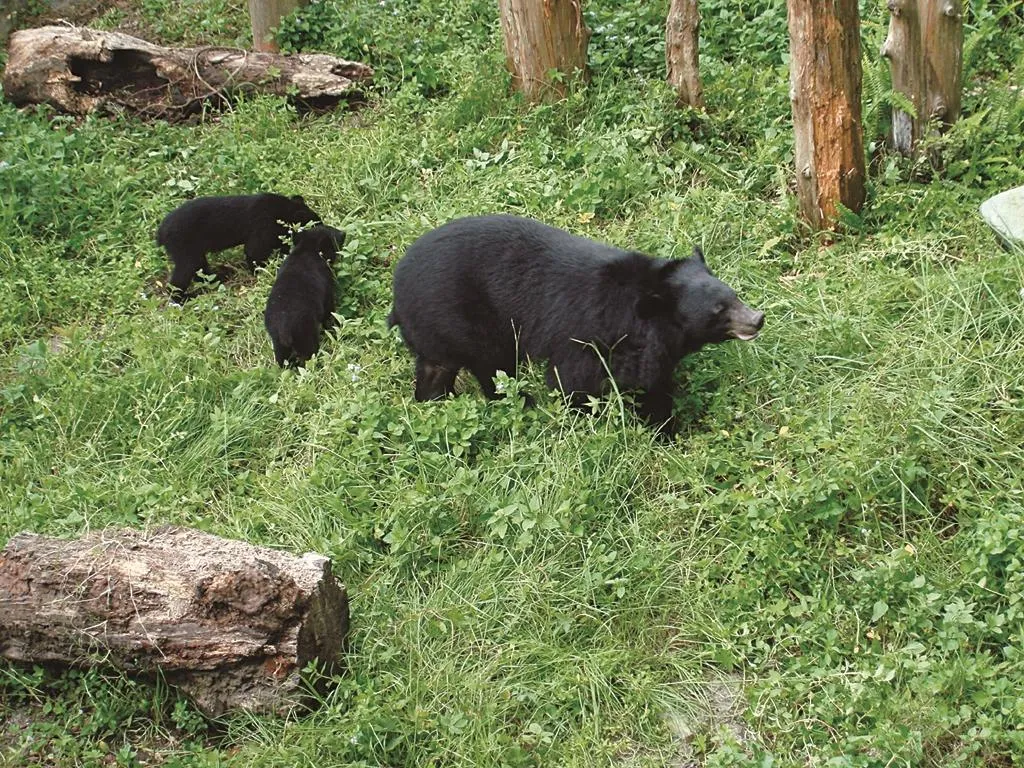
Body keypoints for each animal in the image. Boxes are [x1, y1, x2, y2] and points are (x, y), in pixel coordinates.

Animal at [156, 193, 322, 302]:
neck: (283, 210)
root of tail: (161, 232)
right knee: (184, 272)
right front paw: (262, 272)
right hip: (183, 246)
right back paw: (183, 297)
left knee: (200, 268)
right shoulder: (262, 226)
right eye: (316, 223)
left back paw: (219, 278)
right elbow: (254, 251)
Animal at [264, 224, 346, 368]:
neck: (307, 247)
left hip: (279, 345)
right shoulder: (328, 293)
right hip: (306, 336)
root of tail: (284, 329)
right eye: (334, 235)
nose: (344, 233)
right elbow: (330, 314)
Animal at [388, 214, 764, 432]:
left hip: (438, 332)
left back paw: (433, 404)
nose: (757, 320)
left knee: (437, 370)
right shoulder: (586, 335)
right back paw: (522, 404)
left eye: (735, 295)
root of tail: (398, 288)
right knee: (495, 369)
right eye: (718, 310)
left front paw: (664, 425)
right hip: (467, 320)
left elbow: (653, 383)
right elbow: (574, 380)